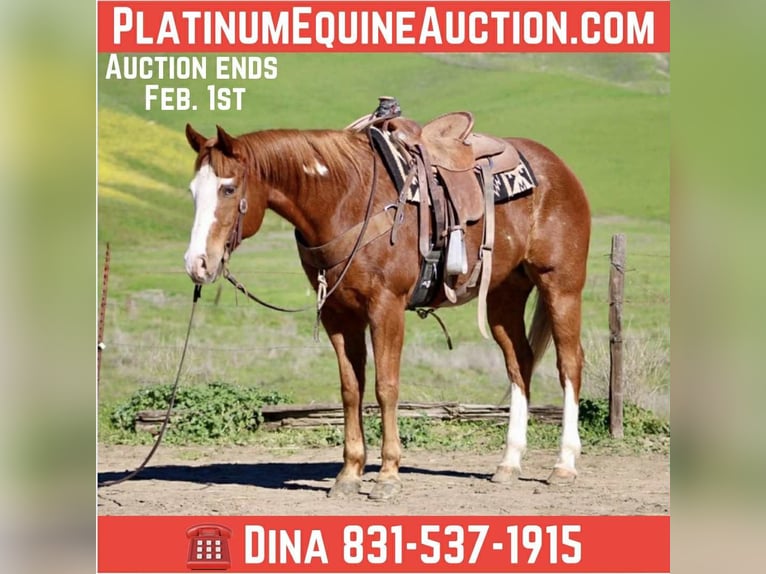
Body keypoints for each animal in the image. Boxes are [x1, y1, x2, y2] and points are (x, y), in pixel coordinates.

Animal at [182, 119, 591, 500]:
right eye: (192, 192)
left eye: (228, 188)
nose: (197, 264)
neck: (346, 199)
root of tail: (559, 168)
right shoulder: (338, 315)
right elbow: (351, 389)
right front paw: (349, 474)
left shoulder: (386, 307)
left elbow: (385, 387)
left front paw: (388, 475)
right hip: (504, 296)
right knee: (519, 364)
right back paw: (509, 462)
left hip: (561, 286)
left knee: (569, 363)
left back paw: (564, 464)